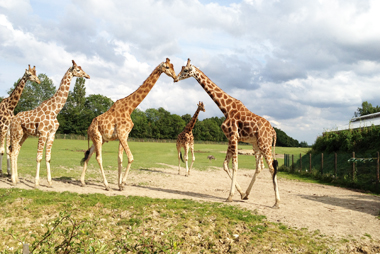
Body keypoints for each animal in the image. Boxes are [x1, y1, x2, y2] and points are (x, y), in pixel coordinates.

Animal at [9, 59, 90, 187]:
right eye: (78, 70)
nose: (87, 76)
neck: (55, 110)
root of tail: (13, 120)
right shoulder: (42, 133)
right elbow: (38, 157)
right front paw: (36, 183)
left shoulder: (52, 134)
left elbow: (48, 157)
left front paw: (49, 182)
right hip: (15, 133)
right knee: (12, 152)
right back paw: (13, 180)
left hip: (24, 134)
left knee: (16, 151)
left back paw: (16, 179)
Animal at [80, 58, 178, 191]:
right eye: (167, 67)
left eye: (173, 66)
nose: (176, 77)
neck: (130, 108)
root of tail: (88, 129)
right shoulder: (122, 134)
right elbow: (130, 158)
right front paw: (123, 184)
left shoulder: (124, 135)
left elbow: (120, 159)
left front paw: (119, 185)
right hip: (97, 137)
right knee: (98, 157)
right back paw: (106, 185)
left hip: (101, 139)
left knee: (89, 153)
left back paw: (82, 182)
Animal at [174, 59, 280, 208]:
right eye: (182, 68)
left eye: (186, 70)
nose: (176, 78)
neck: (225, 109)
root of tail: (274, 131)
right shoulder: (230, 138)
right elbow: (225, 164)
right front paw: (240, 193)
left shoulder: (234, 136)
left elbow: (235, 165)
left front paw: (230, 196)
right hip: (257, 144)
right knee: (260, 167)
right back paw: (248, 194)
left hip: (265, 144)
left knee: (271, 168)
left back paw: (277, 202)